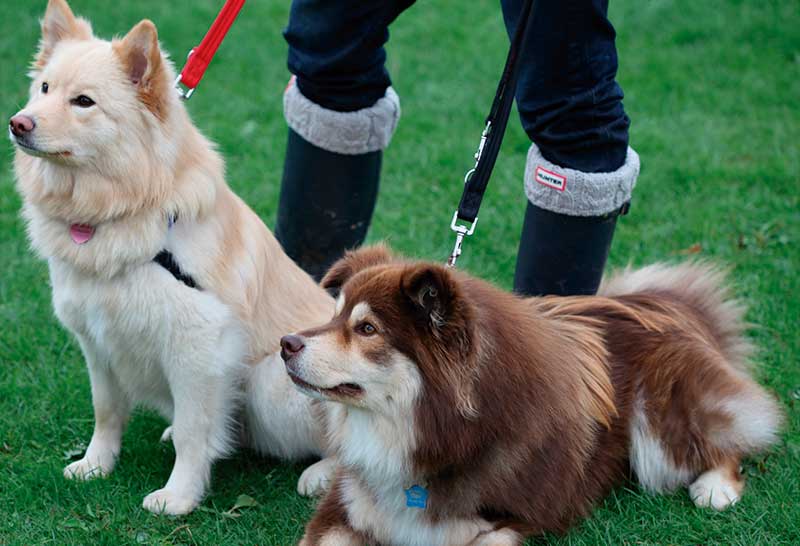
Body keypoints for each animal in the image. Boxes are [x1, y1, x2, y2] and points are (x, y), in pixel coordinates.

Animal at [12, 0, 338, 512]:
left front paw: (178, 497)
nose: (18, 123)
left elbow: (192, 431)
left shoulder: (197, 348)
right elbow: (106, 410)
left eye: (83, 102)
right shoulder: (96, 342)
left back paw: (321, 476)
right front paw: (95, 465)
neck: (118, 210)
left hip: (271, 380)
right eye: (44, 88)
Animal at [282, 245, 780, 544]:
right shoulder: (343, 510)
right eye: (334, 314)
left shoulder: (523, 518)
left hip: (659, 433)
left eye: (367, 328)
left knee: (727, 435)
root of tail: (659, 303)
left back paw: (716, 486)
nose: (286, 343)